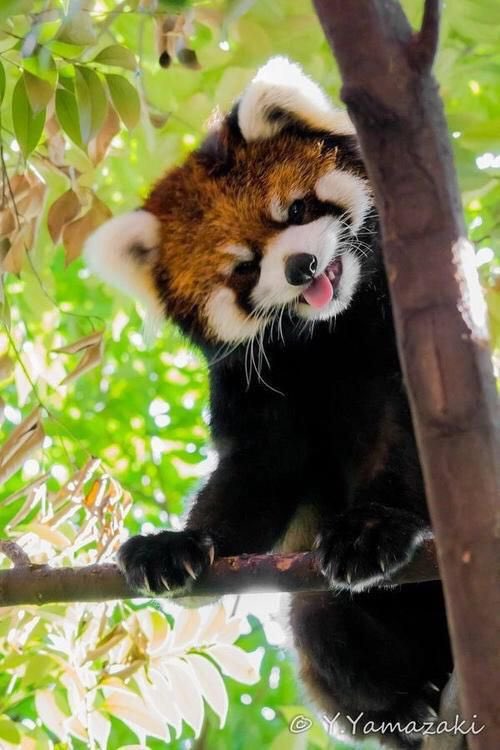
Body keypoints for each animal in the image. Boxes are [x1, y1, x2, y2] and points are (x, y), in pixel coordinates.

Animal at [85, 58, 452, 748]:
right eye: (245, 270)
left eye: (296, 209)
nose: (303, 266)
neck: (328, 336)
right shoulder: (253, 388)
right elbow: (257, 477)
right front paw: (177, 545)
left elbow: (405, 439)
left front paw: (374, 527)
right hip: (326, 630)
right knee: (319, 619)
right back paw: (406, 705)